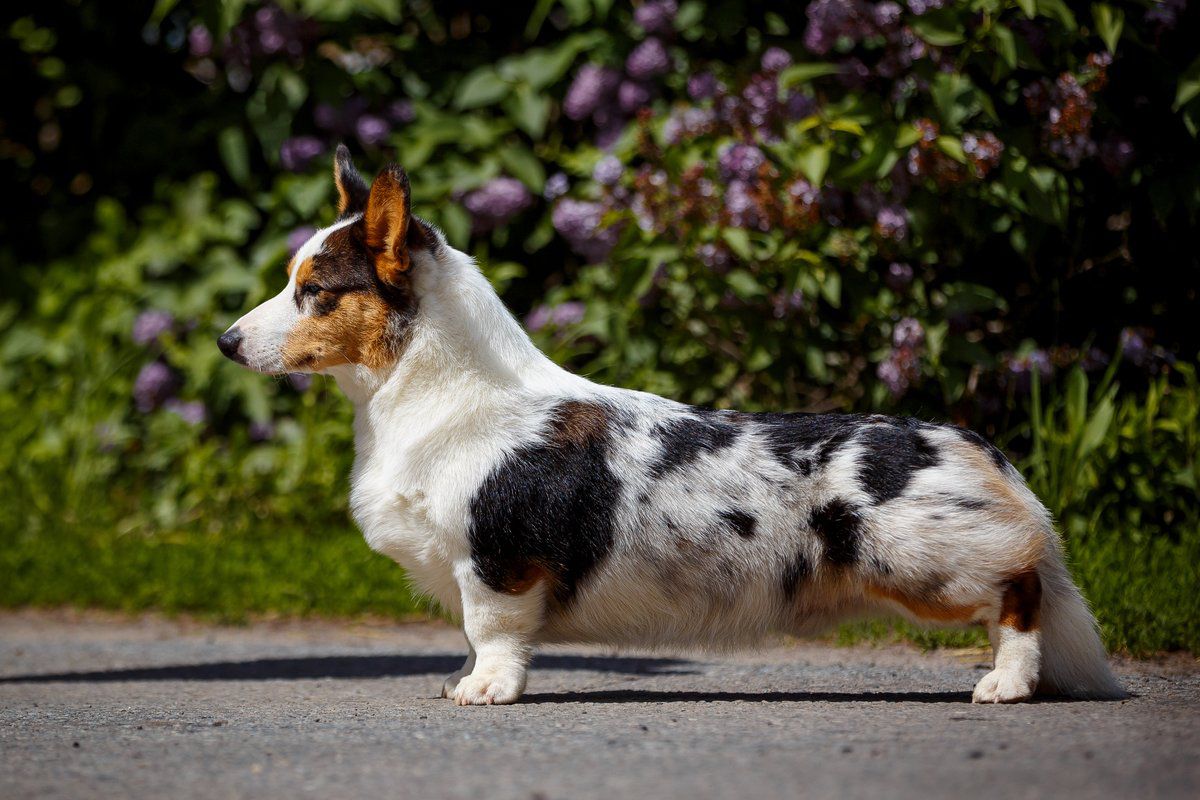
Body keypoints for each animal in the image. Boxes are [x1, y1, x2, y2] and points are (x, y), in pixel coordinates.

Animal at [223, 146, 1123, 705]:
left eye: (316, 291)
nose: (227, 342)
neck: (424, 397)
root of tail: (977, 446)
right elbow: (477, 638)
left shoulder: (496, 562)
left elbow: (494, 635)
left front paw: (485, 691)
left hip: (927, 561)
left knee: (1022, 590)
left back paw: (1006, 684)